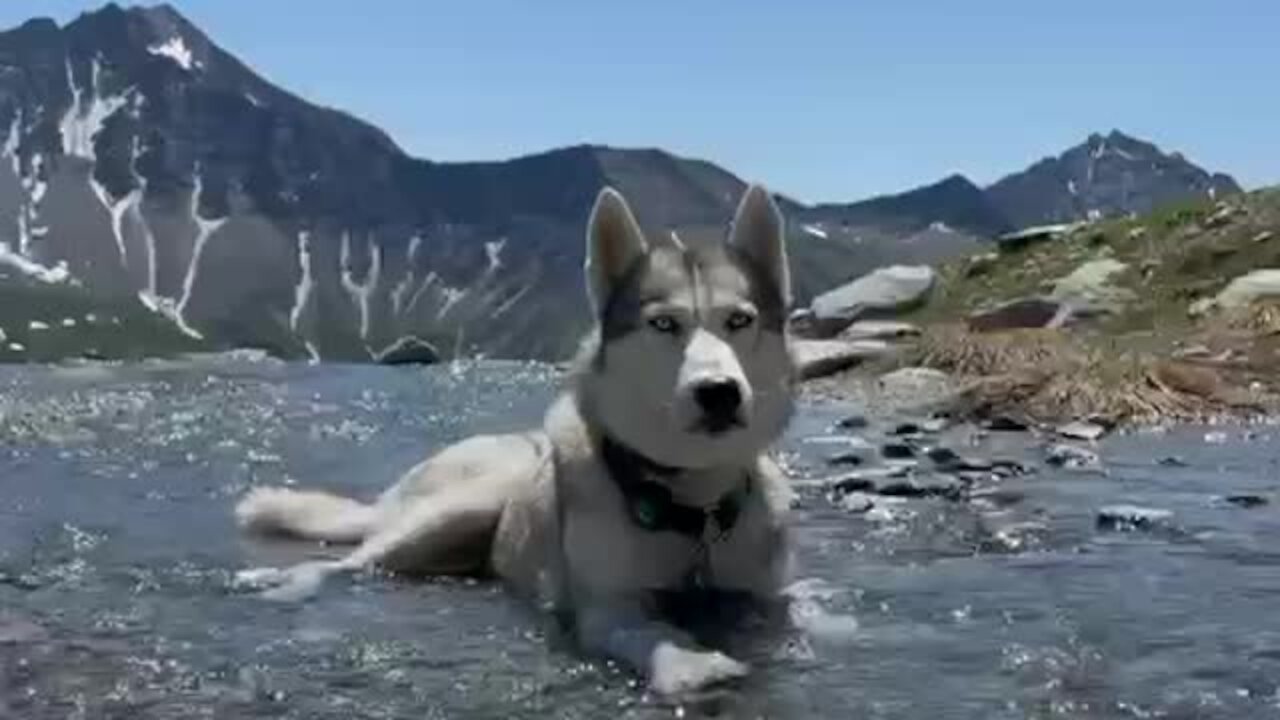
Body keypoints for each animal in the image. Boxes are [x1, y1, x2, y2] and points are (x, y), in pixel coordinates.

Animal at [234, 183, 793, 696]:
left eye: (739, 320)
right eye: (663, 324)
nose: (719, 391)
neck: (691, 509)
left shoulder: (767, 595)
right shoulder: (606, 605)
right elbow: (649, 629)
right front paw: (689, 663)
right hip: (457, 510)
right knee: (343, 561)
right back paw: (284, 585)